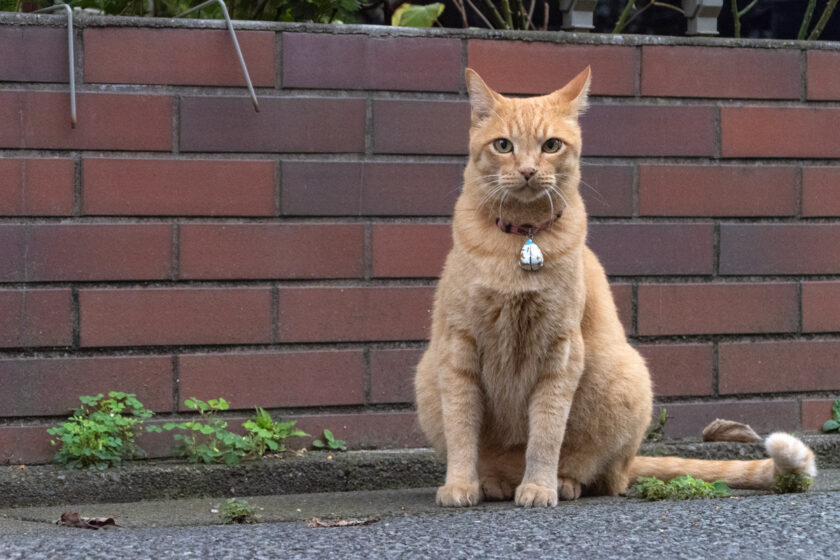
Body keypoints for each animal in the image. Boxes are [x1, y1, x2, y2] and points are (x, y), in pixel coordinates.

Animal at [416, 66, 816, 508]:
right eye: (503, 145)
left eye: (551, 146)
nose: (527, 171)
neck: (522, 240)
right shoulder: (459, 349)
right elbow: (462, 429)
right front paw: (460, 485)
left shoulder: (561, 352)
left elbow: (546, 433)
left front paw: (539, 487)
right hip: (428, 378)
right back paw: (493, 483)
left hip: (625, 378)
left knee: (606, 476)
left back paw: (562, 483)